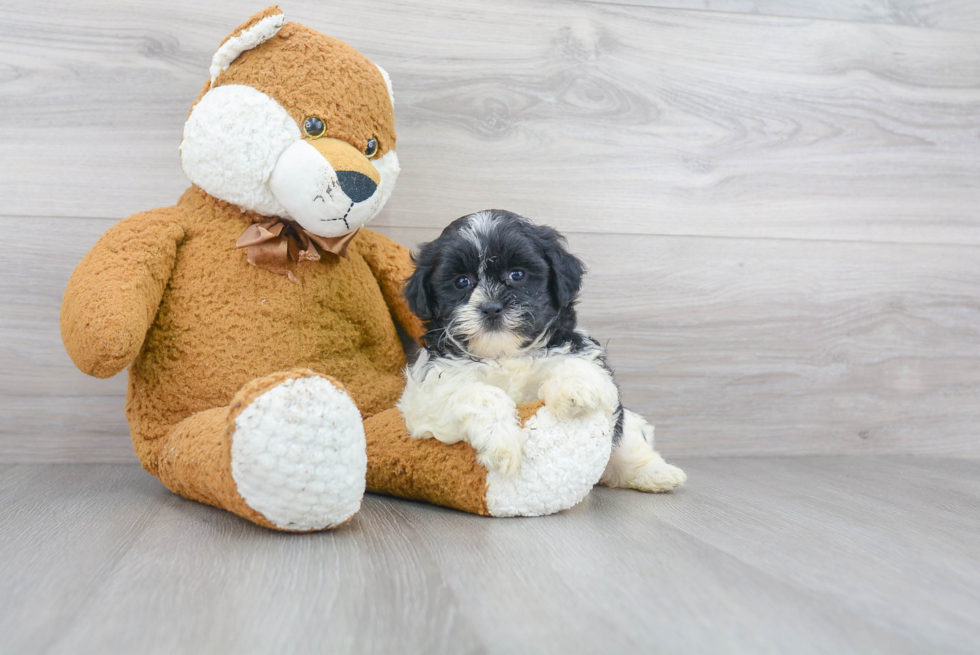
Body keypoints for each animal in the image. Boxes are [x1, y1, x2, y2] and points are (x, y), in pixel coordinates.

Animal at [398, 210, 688, 492]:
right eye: (461, 282)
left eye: (517, 275)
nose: (491, 307)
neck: (504, 354)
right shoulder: (427, 392)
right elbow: (479, 394)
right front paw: (502, 444)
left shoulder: (578, 351)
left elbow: (578, 364)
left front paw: (576, 391)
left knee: (628, 443)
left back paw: (657, 473)